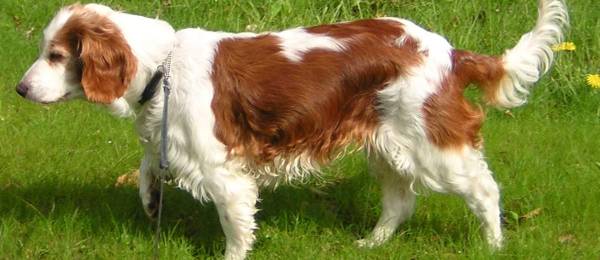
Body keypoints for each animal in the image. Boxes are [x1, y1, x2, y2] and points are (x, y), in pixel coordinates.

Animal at [15, 1, 568, 258]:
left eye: (56, 55)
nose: (19, 89)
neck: (162, 65)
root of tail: (451, 51)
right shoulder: (170, 139)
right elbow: (148, 168)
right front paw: (151, 200)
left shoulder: (225, 175)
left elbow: (236, 231)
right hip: (387, 145)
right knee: (400, 201)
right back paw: (372, 243)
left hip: (431, 144)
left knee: (484, 190)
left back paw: (493, 245)